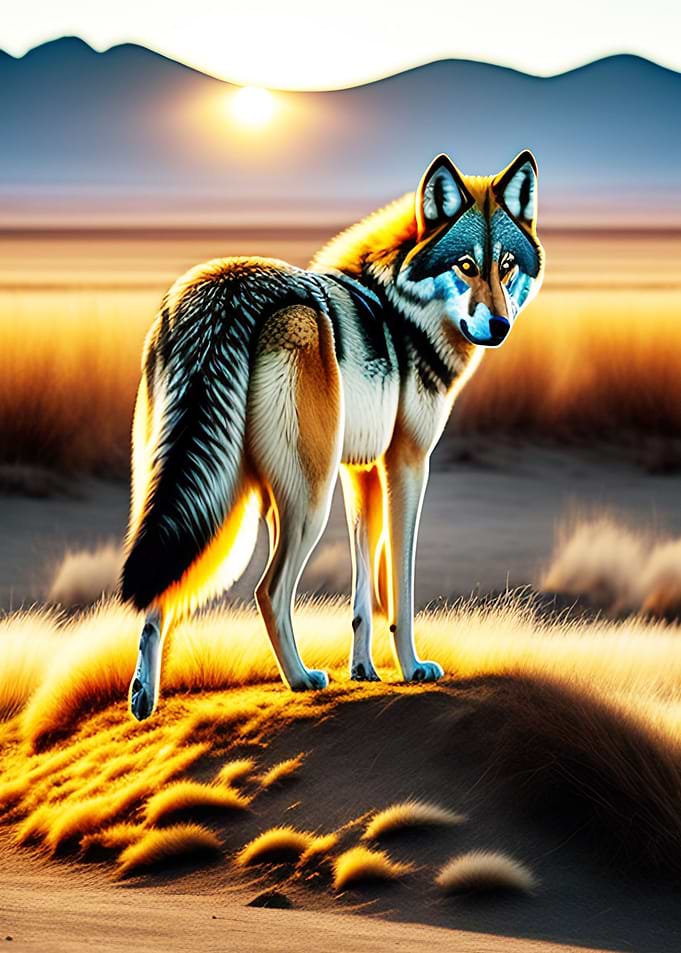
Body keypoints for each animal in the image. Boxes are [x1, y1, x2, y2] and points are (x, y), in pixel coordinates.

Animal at [122, 151, 544, 720]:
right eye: (466, 266)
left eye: (507, 265)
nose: (499, 326)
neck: (404, 308)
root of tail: (224, 288)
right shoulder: (407, 464)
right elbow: (399, 586)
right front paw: (411, 668)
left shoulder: (359, 472)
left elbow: (364, 588)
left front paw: (363, 670)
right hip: (302, 501)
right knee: (269, 591)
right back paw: (301, 679)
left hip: (224, 496)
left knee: (160, 587)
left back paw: (144, 699)